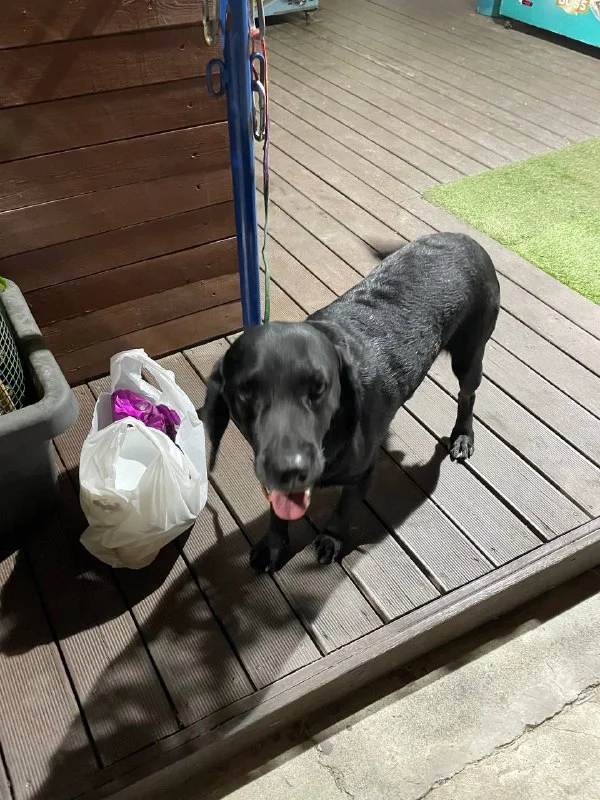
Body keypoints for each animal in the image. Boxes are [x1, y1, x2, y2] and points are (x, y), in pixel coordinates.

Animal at [201, 232, 500, 573]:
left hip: (468, 356)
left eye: (319, 387)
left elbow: (343, 509)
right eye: (246, 391)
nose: (289, 469)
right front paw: (273, 544)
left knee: (467, 396)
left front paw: (331, 539)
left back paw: (462, 436)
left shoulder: (363, 471)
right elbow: (279, 513)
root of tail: (467, 238)